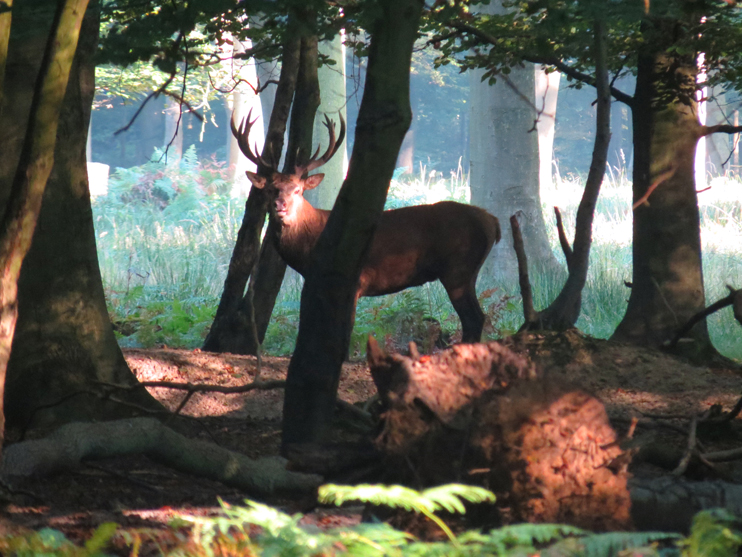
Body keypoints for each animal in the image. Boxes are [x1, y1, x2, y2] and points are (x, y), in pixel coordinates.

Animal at [232, 112, 501, 343]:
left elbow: (343, 329)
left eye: (297, 190)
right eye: (271, 189)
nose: (281, 205)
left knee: (473, 318)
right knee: (477, 318)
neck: (310, 247)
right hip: (467, 272)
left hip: (458, 269)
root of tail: (492, 222)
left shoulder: (354, 280)